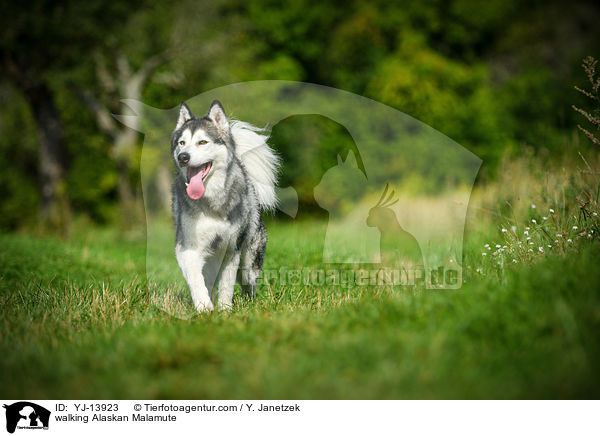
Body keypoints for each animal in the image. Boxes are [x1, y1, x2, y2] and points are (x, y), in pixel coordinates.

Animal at [170, 100, 280, 312]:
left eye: (202, 142)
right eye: (182, 143)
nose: (183, 157)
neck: (210, 202)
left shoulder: (231, 249)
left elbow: (227, 284)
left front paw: (224, 310)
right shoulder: (188, 247)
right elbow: (196, 279)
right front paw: (204, 307)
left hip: (249, 262)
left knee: (248, 283)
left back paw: (248, 302)